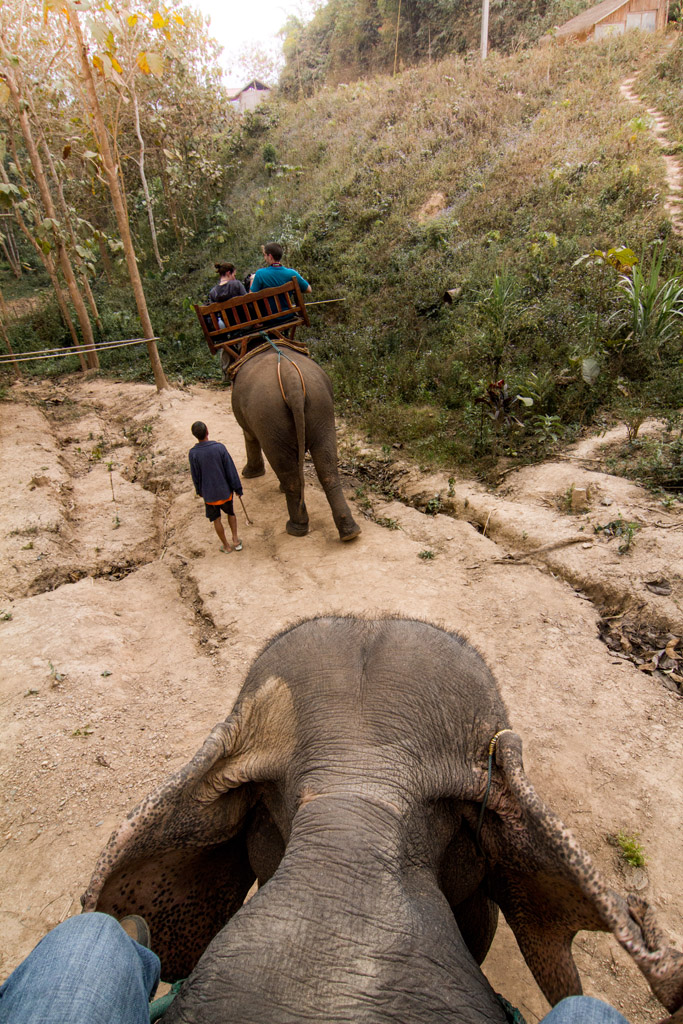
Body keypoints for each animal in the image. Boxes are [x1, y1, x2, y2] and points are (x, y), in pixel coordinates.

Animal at [230, 348, 361, 541]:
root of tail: (291, 381)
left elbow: (249, 435)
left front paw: (249, 474)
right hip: (321, 407)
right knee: (327, 466)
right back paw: (350, 533)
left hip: (269, 416)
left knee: (286, 470)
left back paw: (295, 528)